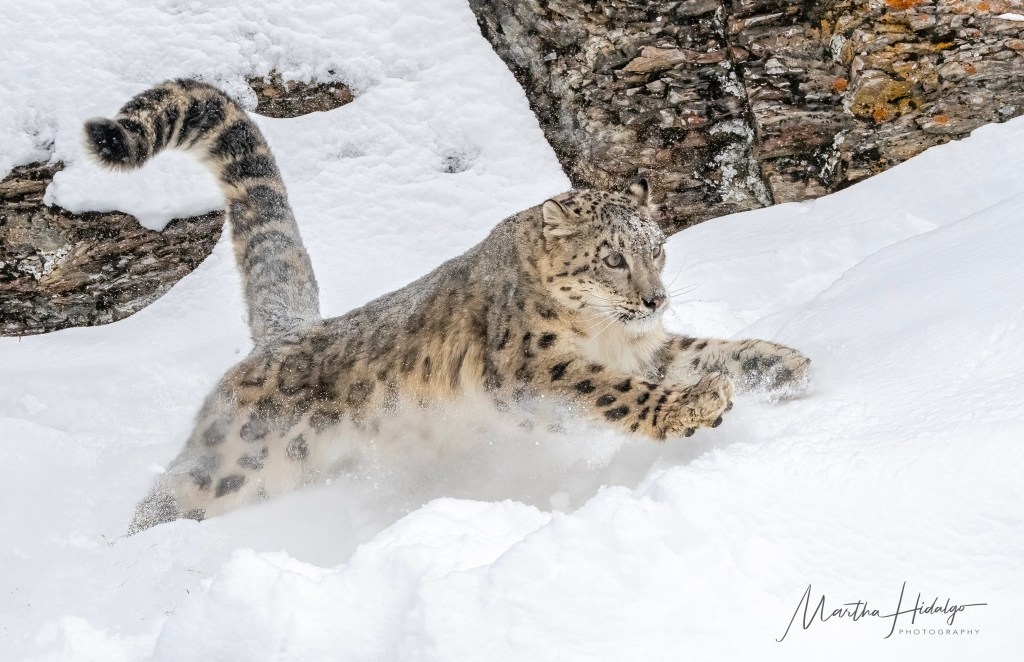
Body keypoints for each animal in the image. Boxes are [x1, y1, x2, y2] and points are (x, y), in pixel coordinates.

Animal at [82, 79, 810, 534]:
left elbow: (702, 350)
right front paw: (695, 406)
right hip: (234, 464)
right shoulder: (534, 368)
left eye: (657, 248)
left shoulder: (647, 348)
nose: (655, 298)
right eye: (612, 259)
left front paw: (779, 365)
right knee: (170, 498)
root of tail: (280, 338)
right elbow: (615, 392)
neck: (605, 333)